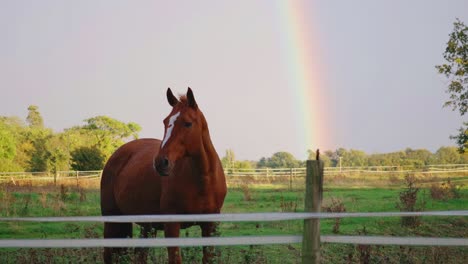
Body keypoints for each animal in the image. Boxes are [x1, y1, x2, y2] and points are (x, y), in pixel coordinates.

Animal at [100, 87, 227, 262]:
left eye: (188, 123)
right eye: (165, 122)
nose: (161, 162)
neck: (203, 181)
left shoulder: (210, 226)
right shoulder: (171, 225)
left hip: (146, 227)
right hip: (112, 220)